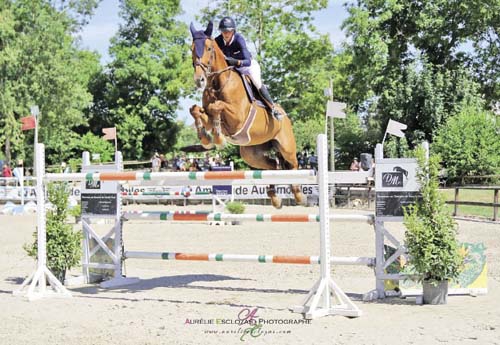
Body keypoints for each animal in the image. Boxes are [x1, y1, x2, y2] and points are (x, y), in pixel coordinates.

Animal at [188, 22, 302, 210]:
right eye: (191, 49)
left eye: (209, 48)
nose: (199, 80)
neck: (218, 83)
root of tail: (285, 116)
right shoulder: (209, 116)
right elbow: (196, 110)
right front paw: (205, 137)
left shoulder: (237, 118)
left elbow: (216, 106)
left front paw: (217, 138)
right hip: (252, 155)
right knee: (274, 166)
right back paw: (275, 198)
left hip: (287, 148)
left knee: (293, 166)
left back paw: (299, 195)